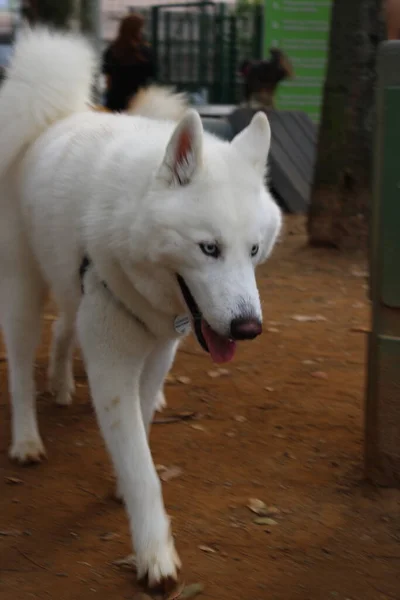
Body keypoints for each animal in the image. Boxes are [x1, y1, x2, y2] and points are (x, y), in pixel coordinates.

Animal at [0, 30, 282, 588]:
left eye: (254, 250)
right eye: (209, 249)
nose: (247, 328)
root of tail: (56, 114)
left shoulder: (158, 354)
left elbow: (144, 428)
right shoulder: (113, 365)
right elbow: (140, 463)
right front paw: (154, 553)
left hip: (68, 290)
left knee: (64, 330)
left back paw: (60, 384)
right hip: (22, 290)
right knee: (20, 368)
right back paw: (26, 440)